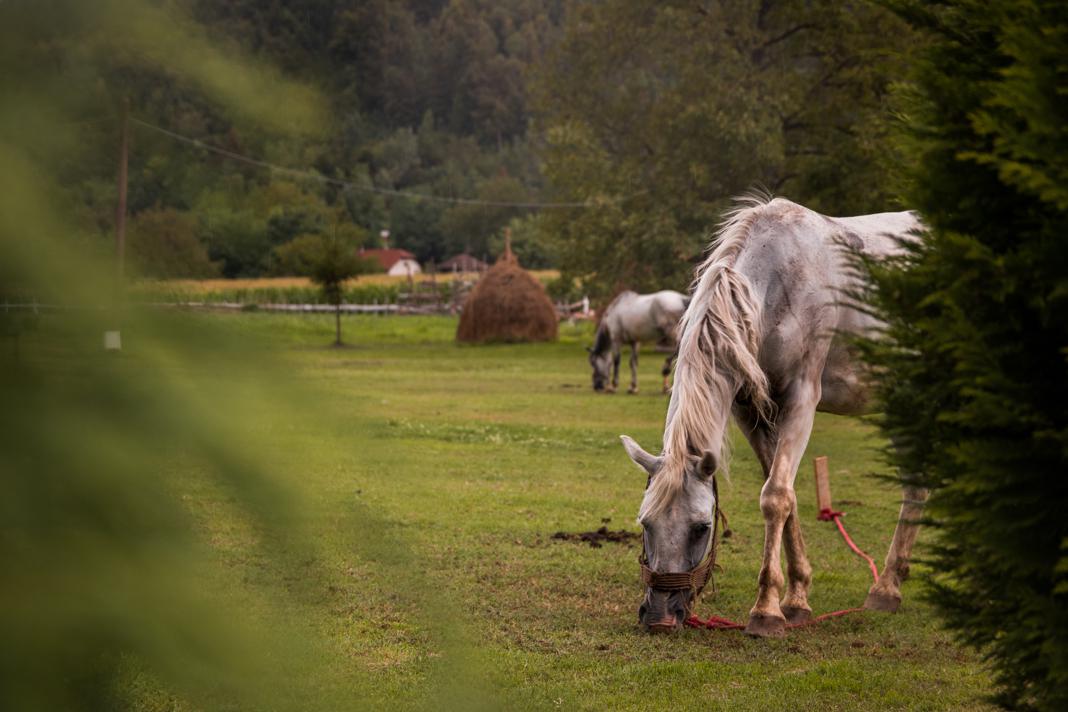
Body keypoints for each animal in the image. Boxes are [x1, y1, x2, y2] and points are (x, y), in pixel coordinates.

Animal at [623, 195, 931, 636]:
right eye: (645, 523)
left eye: (702, 527)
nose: (660, 617)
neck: (775, 288)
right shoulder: (749, 412)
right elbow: (787, 496)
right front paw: (796, 598)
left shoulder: (802, 400)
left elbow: (775, 498)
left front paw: (766, 611)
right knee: (916, 487)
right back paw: (888, 587)